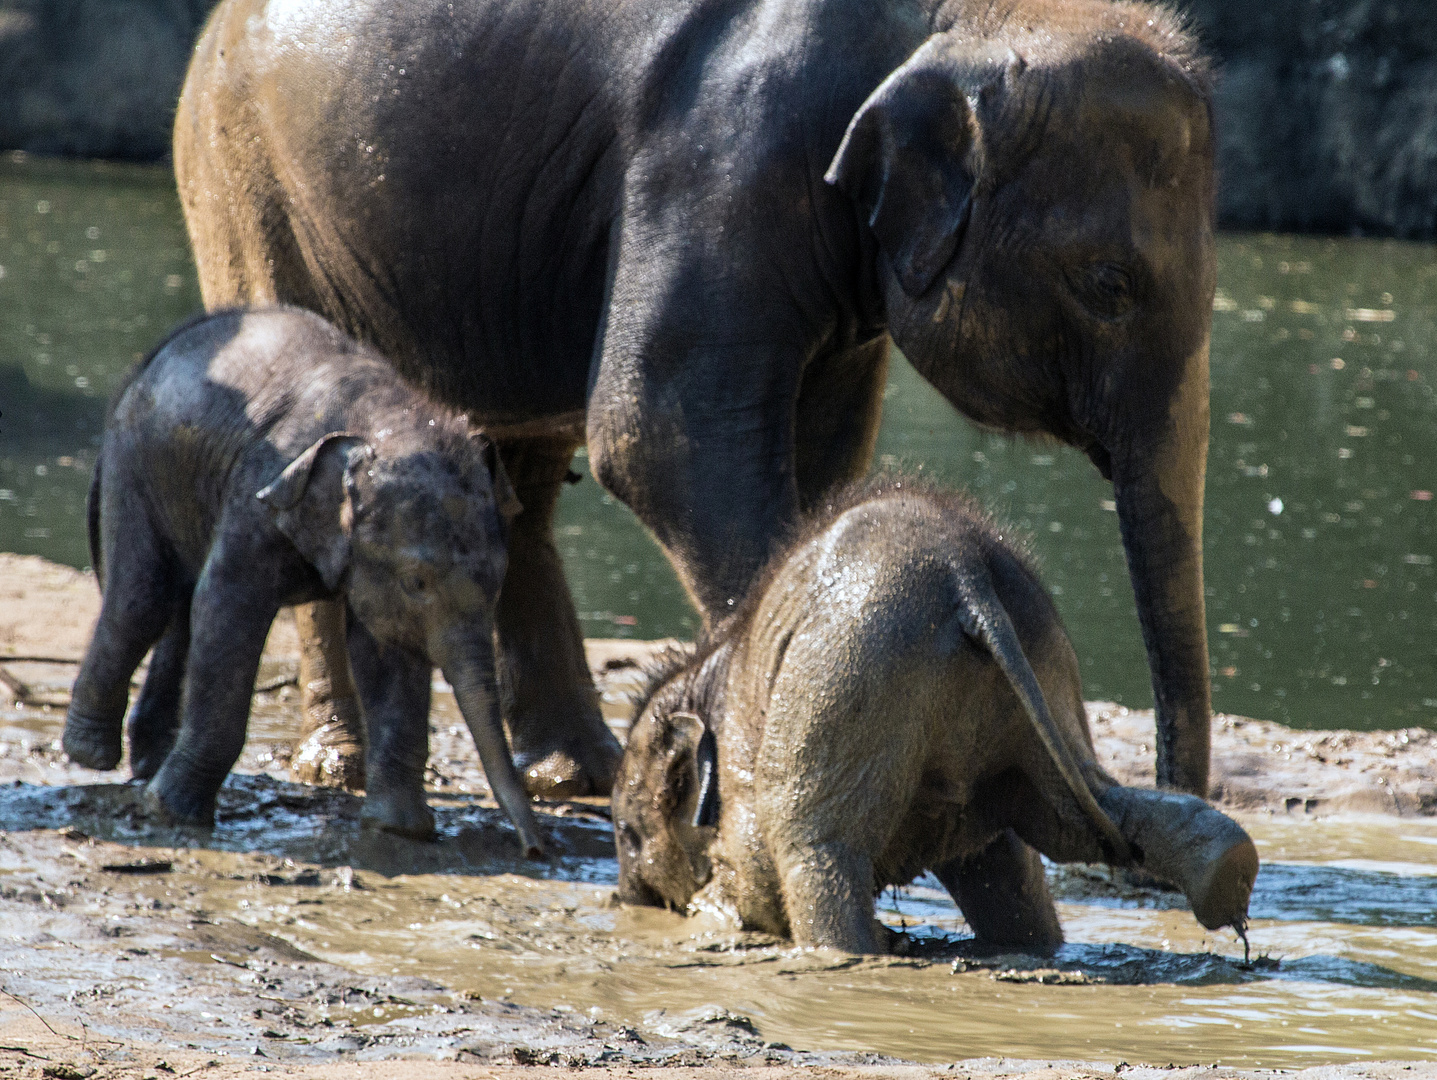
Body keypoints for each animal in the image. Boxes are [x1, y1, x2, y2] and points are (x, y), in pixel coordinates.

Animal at [61, 307, 546, 855]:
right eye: (417, 582)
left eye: (498, 580)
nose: (536, 848)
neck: (387, 420)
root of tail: (147, 360)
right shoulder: (257, 494)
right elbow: (226, 606)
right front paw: (173, 813)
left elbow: (386, 647)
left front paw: (398, 829)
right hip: (137, 466)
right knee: (143, 599)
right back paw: (91, 754)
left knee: (177, 613)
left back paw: (146, 764)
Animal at [173, 0, 1218, 792]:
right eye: (1109, 284)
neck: (963, 17)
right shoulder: (722, 156)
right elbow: (658, 435)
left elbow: (821, 455)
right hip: (241, 184)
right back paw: (342, 768)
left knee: (515, 482)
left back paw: (580, 772)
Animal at [617, 485, 1258, 959]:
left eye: (626, 834)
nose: (624, 902)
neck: (707, 672)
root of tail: (964, 571)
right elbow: (997, 861)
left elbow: (757, 886)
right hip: (1040, 669)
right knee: (1077, 818)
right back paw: (1225, 879)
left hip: (852, 661)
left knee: (811, 844)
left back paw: (851, 955)